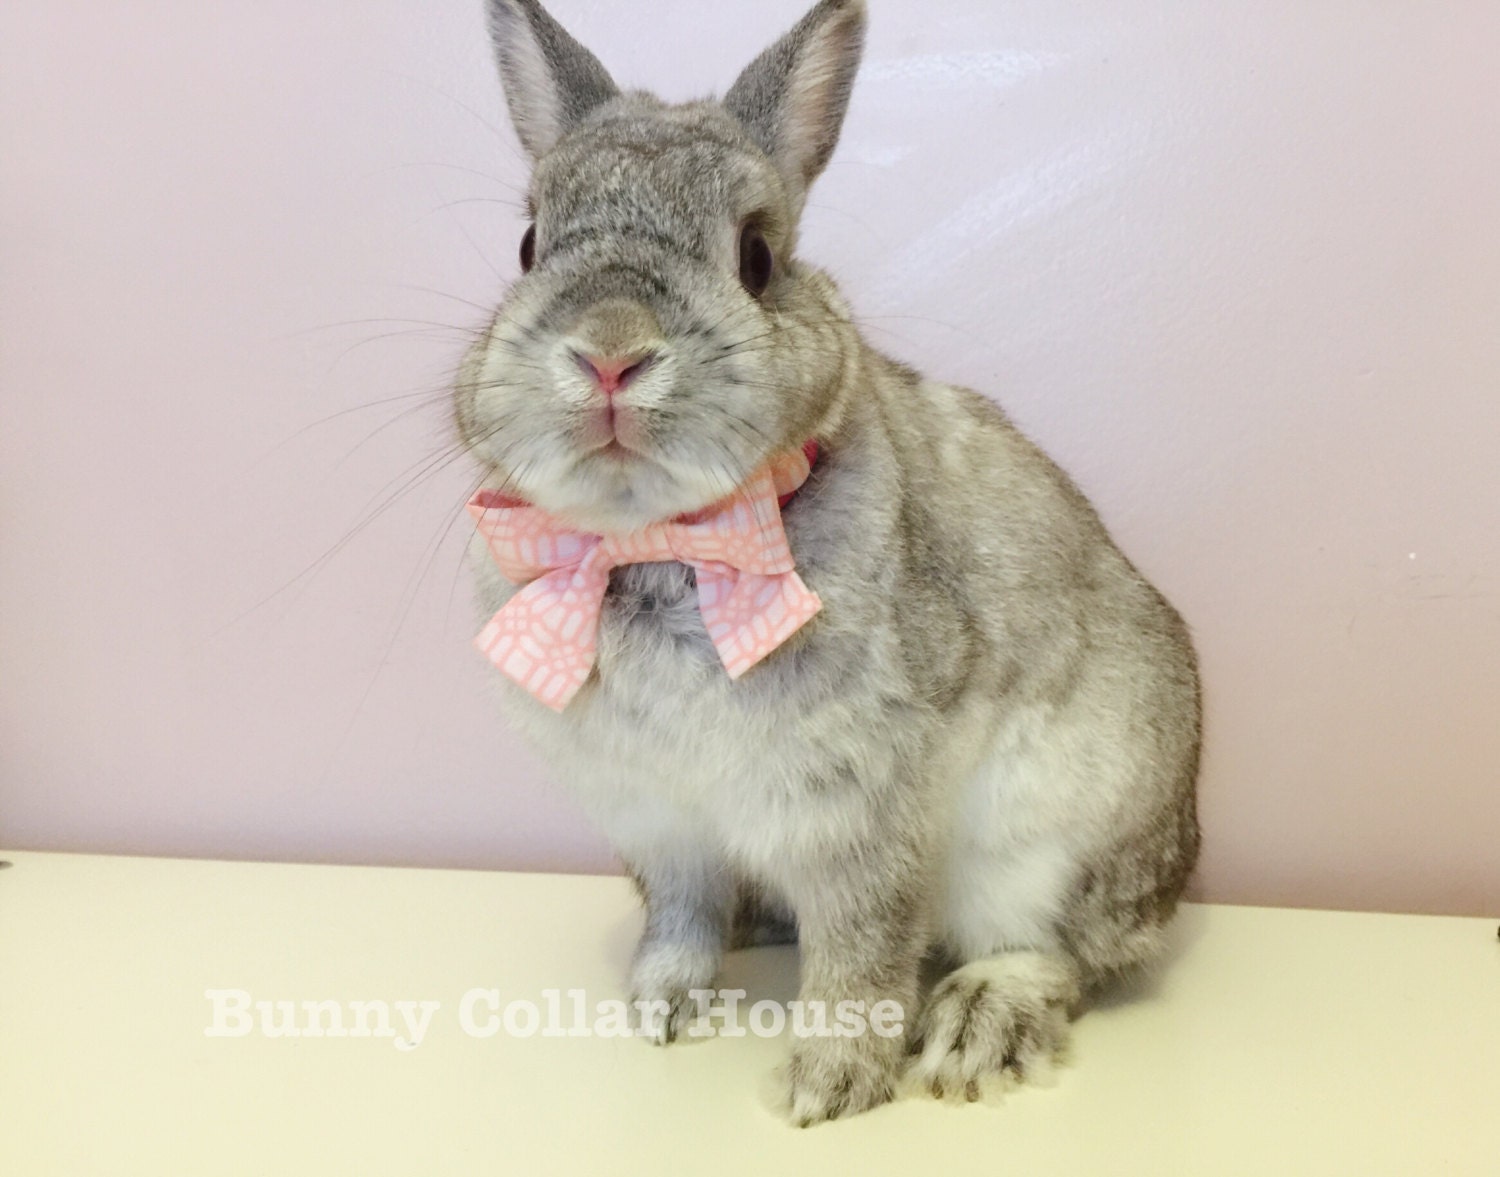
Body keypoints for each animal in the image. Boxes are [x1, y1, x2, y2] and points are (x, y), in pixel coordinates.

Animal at [454, 0, 1201, 1125]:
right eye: (530, 243)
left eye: (757, 256)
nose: (611, 352)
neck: (664, 538)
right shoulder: (660, 821)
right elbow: (679, 916)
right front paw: (658, 1009)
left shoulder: (861, 805)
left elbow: (864, 948)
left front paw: (829, 1086)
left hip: (1051, 845)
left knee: (1066, 955)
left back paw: (978, 1026)